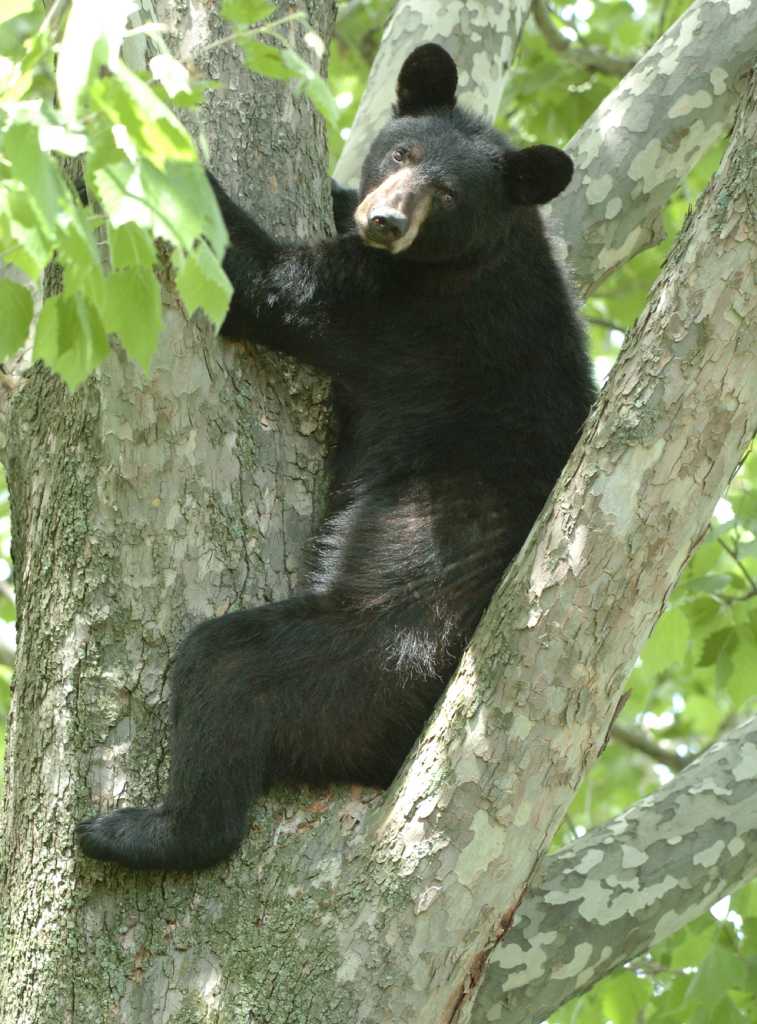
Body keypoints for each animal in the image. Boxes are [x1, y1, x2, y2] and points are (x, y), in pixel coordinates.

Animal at [76, 43, 596, 870]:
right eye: (402, 152)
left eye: (447, 194)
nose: (385, 221)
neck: (478, 254)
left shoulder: (403, 311)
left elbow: (261, 283)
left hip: (364, 665)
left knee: (229, 669)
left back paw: (146, 832)